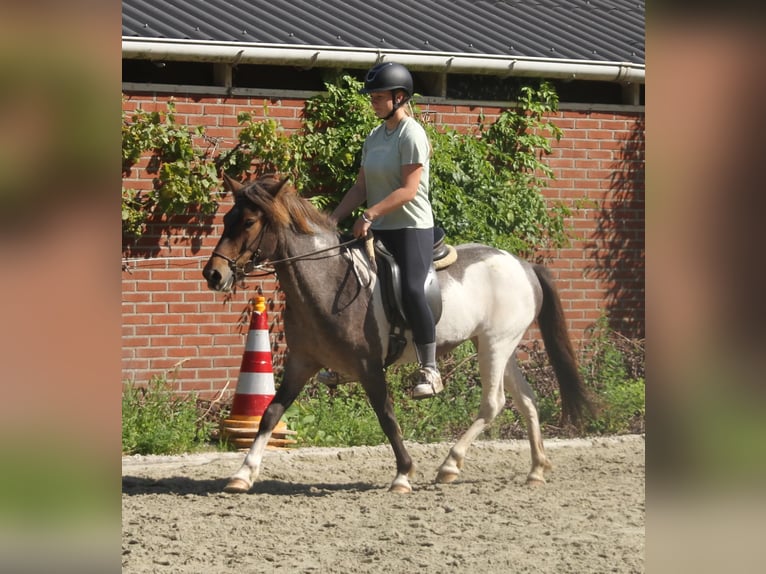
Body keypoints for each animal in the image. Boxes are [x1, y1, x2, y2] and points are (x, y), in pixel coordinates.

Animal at [202, 173, 596, 494]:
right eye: (227, 219)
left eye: (249, 221)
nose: (214, 274)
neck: (327, 280)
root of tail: (524, 265)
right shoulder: (302, 363)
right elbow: (270, 413)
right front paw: (243, 474)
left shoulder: (368, 366)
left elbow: (386, 416)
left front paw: (403, 474)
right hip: (499, 345)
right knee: (526, 399)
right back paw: (536, 469)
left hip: (495, 346)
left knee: (494, 402)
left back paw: (450, 464)